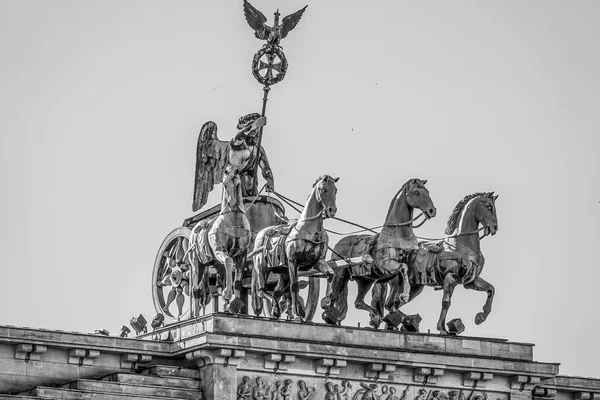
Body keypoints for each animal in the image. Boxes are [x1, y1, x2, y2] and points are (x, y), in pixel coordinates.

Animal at [251, 175, 340, 322]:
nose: (331, 210)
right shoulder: (293, 261)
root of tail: (260, 233)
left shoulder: (317, 261)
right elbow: (294, 286)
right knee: (262, 291)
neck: (311, 229)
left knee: (277, 290)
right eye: (323, 189)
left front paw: (328, 303)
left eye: (336, 191)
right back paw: (278, 308)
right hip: (262, 268)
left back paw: (277, 309)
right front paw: (297, 315)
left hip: (283, 272)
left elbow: (330, 274)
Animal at [324, 180, 436, 326]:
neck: (399, 234)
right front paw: (404, 296)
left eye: (427, 191)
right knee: (332, 297)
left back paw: (375, 314)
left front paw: (396, 309)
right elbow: (403, 268)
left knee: (358, 302)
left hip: (365, 280)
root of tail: (339, 244)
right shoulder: (387, 265)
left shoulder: (403, 270)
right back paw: (331, 316)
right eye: (416, 192)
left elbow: (397, 290)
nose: (432, 210)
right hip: (340, 276)